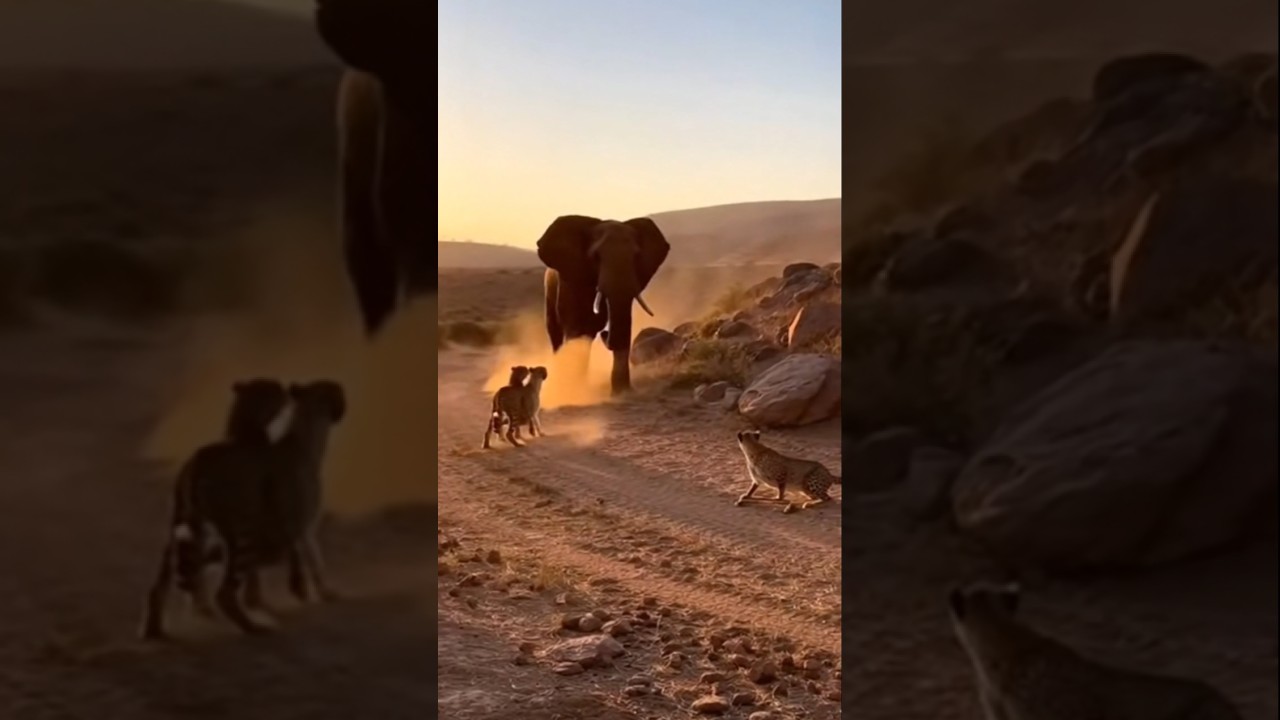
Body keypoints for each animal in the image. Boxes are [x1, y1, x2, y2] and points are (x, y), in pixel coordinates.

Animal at [536, 215, 671, 395]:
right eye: (596, 257)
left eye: (636, 256)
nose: (606, 333)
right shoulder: (571, 280)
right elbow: (575, 329)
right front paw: (575, 389)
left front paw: (621, 392)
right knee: (558, 336)